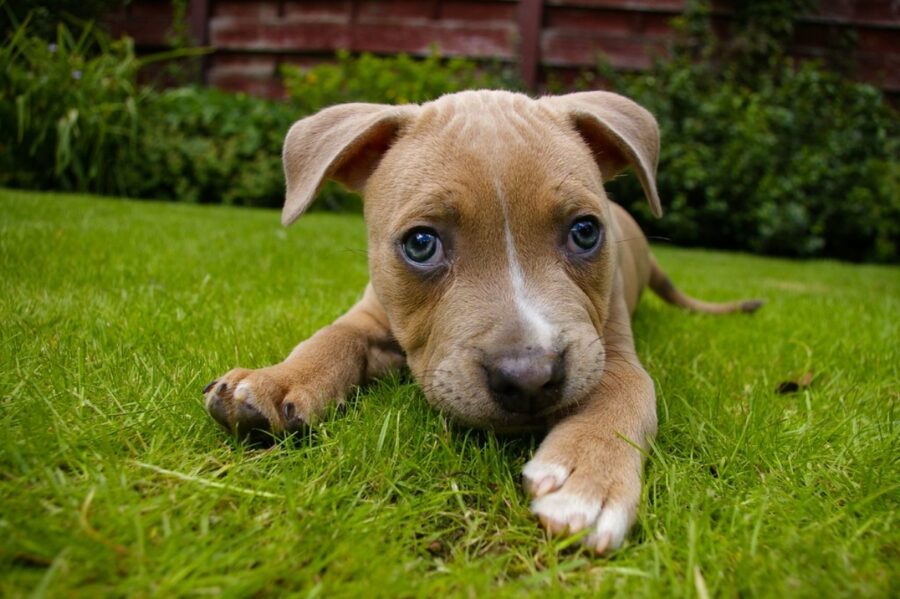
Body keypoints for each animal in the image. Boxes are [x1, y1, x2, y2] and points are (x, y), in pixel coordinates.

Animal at [202, 91, 760, 556]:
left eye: (585, 231)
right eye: (420, 243)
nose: (529, 379)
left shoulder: (610, 343)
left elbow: (626, 385)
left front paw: (589, 477)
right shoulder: (372, 314)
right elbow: (332, 337)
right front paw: (275, 380)